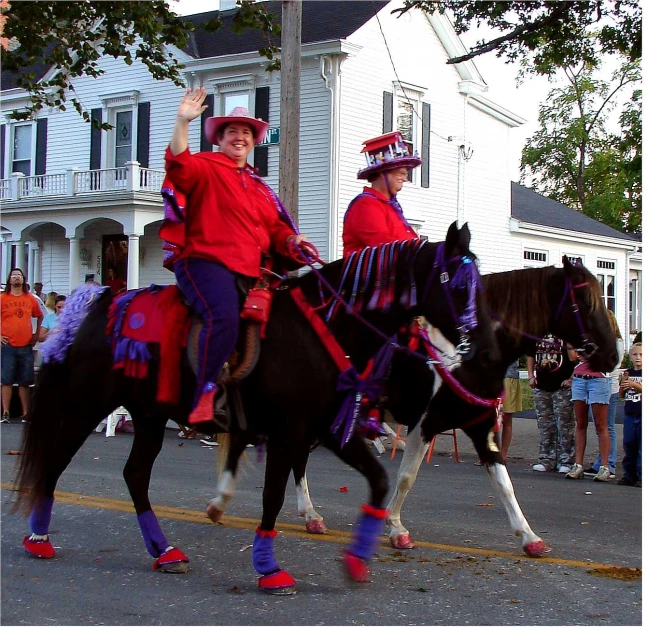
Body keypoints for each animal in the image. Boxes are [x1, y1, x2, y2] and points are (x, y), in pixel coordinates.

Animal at [13, 222, 502, 592]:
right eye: (462, 284)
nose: (487, 352)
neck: (326, 329)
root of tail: (95, 306)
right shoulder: (290, 430)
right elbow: (274, 495)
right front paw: (269, 568)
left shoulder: (329, 429)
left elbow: (379, 481)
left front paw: (356, 560)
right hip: (87, 403)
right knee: (56, 461)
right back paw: (38, 537)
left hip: (149, 416)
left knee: (134, 476)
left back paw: (165, 552)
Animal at [292, 258, 616, 556]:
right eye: (585, 301)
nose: (613, 356)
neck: (467, 356)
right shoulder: (424, 424)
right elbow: (407, 476)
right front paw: (396, 528)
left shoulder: (482, 428)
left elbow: (504, 483)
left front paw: (529, 536)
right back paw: (309, 513)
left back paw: (310, 515)